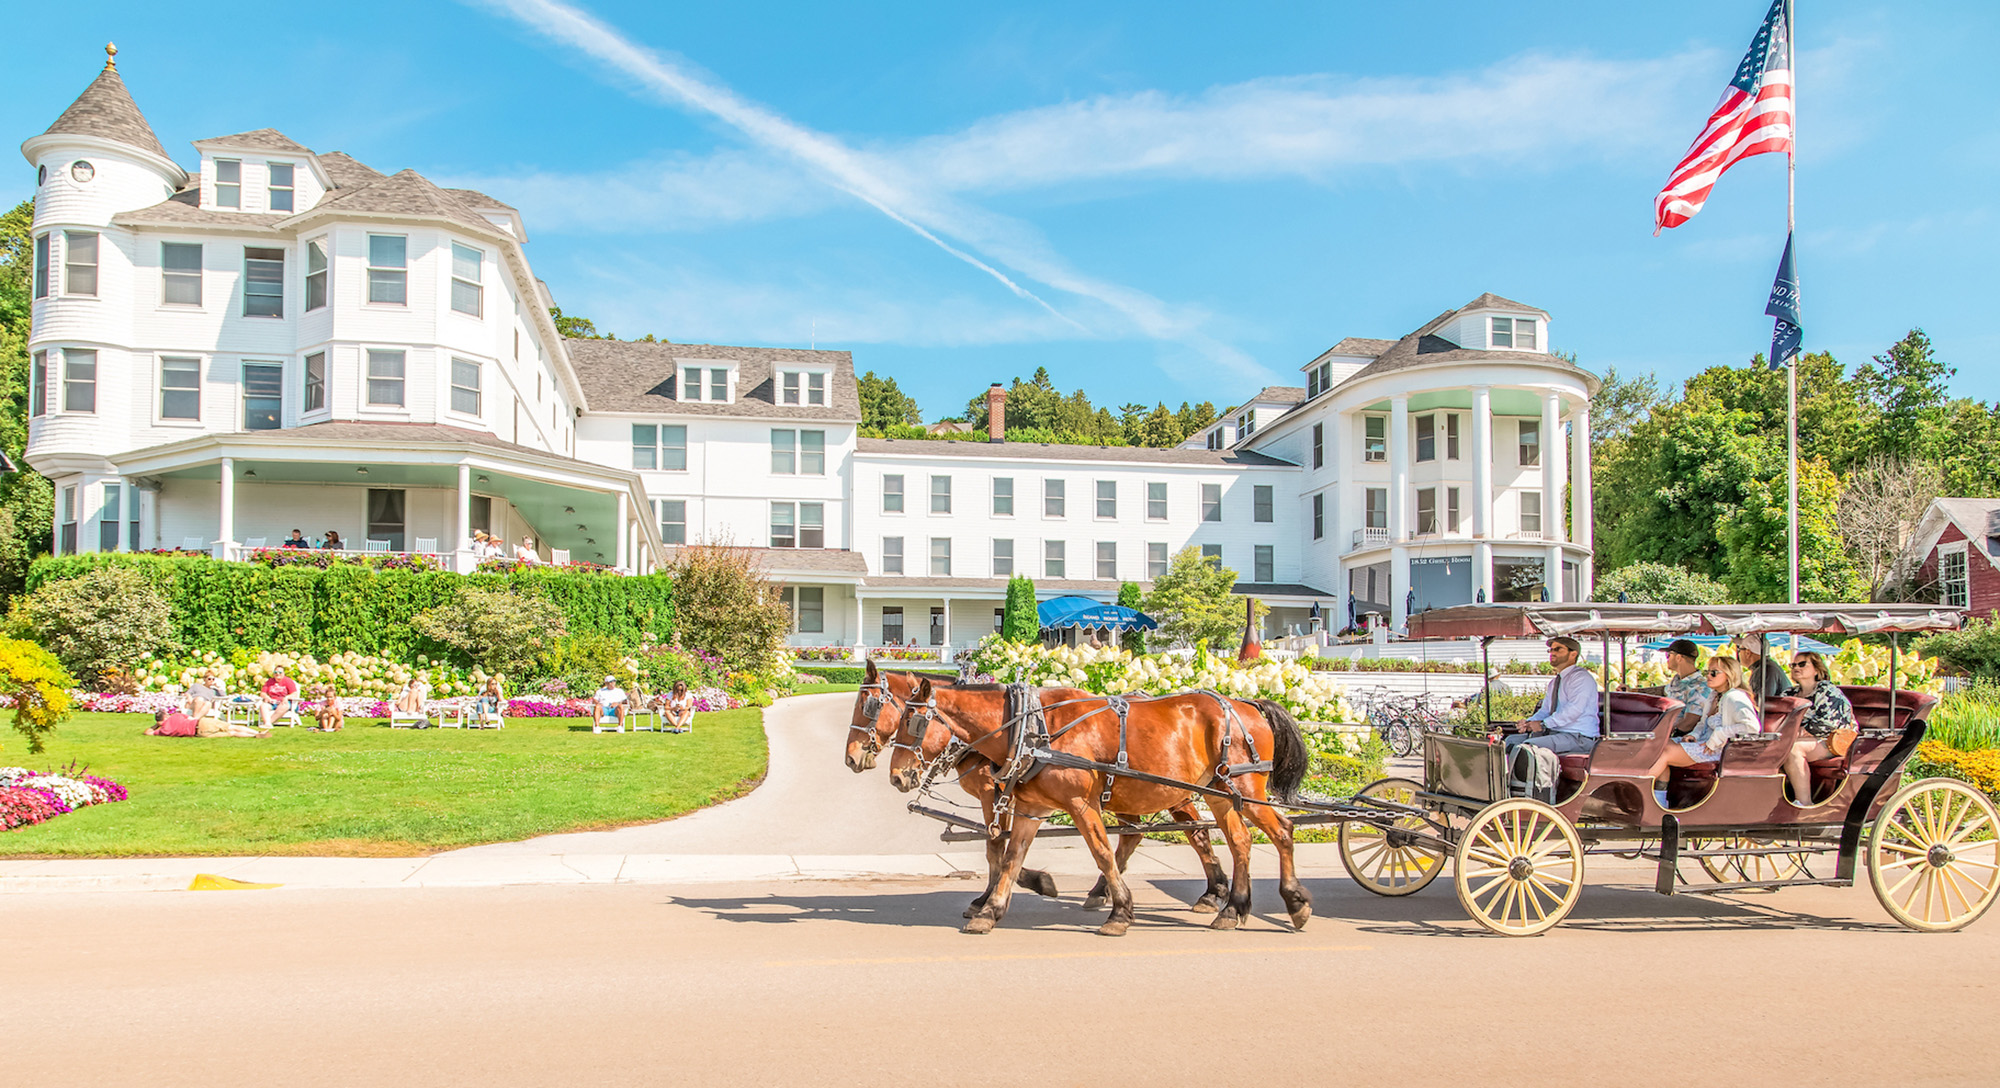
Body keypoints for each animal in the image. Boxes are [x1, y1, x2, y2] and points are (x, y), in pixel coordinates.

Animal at [836, 664, 1224, 920]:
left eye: (868, 705)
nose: (851, 757)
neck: (1008, 727)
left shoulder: (994, 794)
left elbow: (996, 847)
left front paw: (1005, 892)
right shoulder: (1012, 797)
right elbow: (1005, 847)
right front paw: (1006, 892)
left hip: (1168, 789)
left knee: (1197, 832)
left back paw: (1213, 891)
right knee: (1139, 834)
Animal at [892, 680, 1312, 936]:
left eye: (911, 722)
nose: (898, 776)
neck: (1030, 730)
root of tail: (1246, 703)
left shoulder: (1081, 804)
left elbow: (1101, 853)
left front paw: (1121, 912)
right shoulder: (1031, 809)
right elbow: (1010, 858)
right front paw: (990, 910)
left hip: (1242, 786)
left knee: (1280, 831)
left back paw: (1293, 902)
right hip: (1218, 792)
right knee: (1239, 841)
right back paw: (1231, 908)